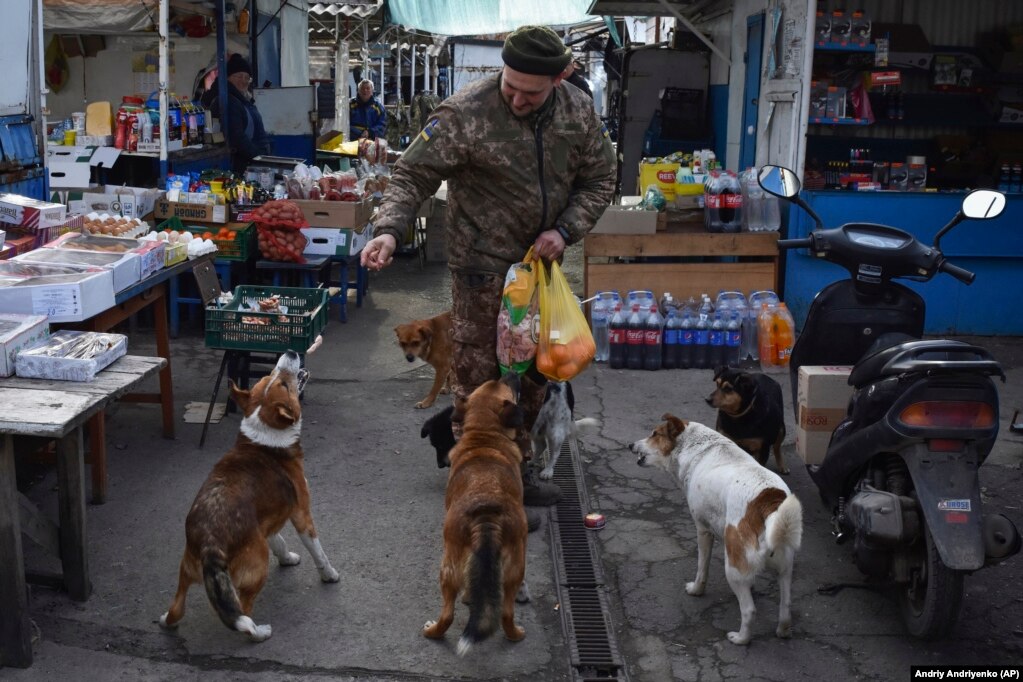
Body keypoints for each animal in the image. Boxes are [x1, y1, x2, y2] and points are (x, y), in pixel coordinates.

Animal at [157, 349, 337, 642]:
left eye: (270, 375)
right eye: (282, 382)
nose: (291, 352)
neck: (264, 438)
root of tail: (210, 544)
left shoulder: (267, 523)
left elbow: (280, 542)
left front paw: (287, 559)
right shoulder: (302, 515)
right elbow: (318, 551)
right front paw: (329, 575)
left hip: (186, 571)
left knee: (177, 608)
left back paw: (166, 621)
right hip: (258, 565)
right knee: (244, 611)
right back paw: (259, 632)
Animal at [423, 370, 536, 658]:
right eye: (498, 382)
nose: (513, 372)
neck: (485, 435)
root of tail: (487, 513)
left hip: (448, 566)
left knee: (448, 614)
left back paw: (432, 631)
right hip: (514, 569)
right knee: (506, 613)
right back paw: (516, 634)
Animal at [626, 411, 802, 646]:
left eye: (654, 434)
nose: (630, 445)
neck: (698, 448)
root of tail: (768, 502)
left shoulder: (703, 531)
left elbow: (702, 567)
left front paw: (696, 590)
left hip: (732, 566)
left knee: (749, 610)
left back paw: (741, 638)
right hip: (785, 568)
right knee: (786, 606)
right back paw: (783, 630)